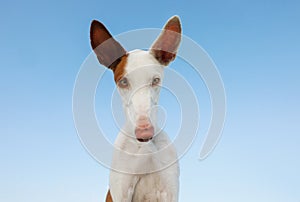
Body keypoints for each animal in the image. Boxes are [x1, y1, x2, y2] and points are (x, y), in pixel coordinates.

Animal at [89, 15, 182, 200]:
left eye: (155, 80)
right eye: (123, 81)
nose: (144, 131)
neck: (145, 148)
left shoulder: (170, 191)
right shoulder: (121, 192)